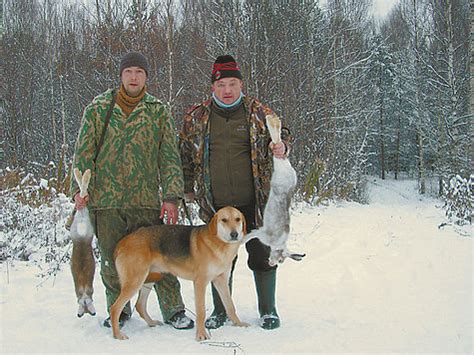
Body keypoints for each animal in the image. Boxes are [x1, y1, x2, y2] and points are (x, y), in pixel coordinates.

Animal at [109, 207, 250, 340]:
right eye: (224, 220)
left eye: (237, 219)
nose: (234, 234)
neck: (218, 243)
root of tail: (123, 241)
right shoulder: (200, 283)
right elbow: (201, 311)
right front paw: (201, 335)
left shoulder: (221, 281)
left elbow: (230, 306)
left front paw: (238, 324)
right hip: (135, 282)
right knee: (115, 308)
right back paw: (118, 335)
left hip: (149, 279)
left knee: (140, 305)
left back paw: (151, 323)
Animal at [246, 114, 306, 268]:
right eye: (280, 259)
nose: (272, 263)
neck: (279, 244)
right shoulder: (261, 233)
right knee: (276, 140)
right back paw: (272, 120)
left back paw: (273, 120)